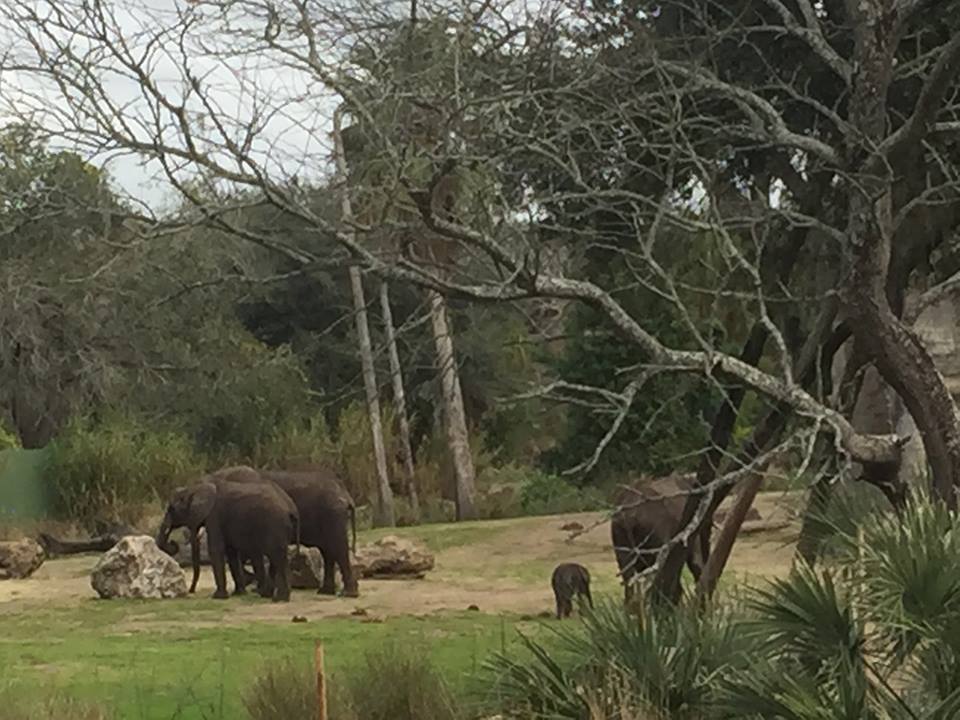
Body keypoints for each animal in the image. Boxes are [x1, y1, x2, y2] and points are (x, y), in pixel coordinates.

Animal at [156, 470, 299, 601]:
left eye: (171, 509)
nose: (191, 591)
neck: (195, 487)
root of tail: (292, 509)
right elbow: (231, 552)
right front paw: (238, 593)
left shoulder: (215, 516)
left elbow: (215, 549)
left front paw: (218, 597)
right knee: (276, 557)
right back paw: (268, 595)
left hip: (275, 524)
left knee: (277, 557)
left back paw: (279, 598)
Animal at [212, 465, 359, 597]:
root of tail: (345, 493)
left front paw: (260, 589)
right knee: (328, 551)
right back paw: (326, 592)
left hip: (332, 514)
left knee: (337, 548)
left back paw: (348, 594)